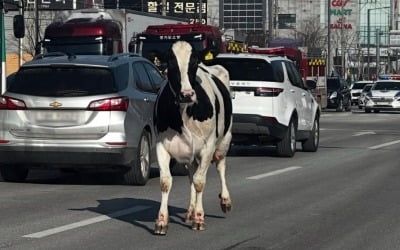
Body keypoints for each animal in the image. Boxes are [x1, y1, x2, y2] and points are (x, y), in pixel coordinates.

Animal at [154, 40, 234, 234]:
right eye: (170, 63)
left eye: (194, 63)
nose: (187, 94)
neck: (184, 112)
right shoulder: (161, 145)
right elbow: (166, 182)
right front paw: (162, 221)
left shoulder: (207, 147)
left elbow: (199, 182)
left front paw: (199, 218)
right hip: (189, 153)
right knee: (191, 173)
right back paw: (190, 211)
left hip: (224, 141)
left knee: (220, 166)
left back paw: (225, 200)